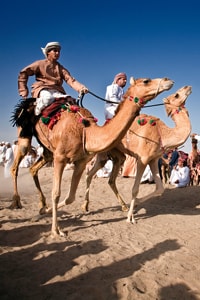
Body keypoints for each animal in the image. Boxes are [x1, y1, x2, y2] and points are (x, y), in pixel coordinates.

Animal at [10, 77, 173, 237]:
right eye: (146, 81)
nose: (168, 80)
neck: (86, 132)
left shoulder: (81, 161)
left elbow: (70, 197)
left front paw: (46, 212)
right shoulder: (60, 158)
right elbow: (56, 193)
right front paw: (56, 230)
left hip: (48, 151)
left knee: (33, 169)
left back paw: (42, 205)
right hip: (26, 135)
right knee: (16, 165)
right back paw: (16, 202)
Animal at [83, 85, 192, 224]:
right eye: (177, 95)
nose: (188, 87)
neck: (162, 134)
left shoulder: (153, 160)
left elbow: (160, 188)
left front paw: (136, 204)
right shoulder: (143, 159)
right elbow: (135, 189)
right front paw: (131, 217)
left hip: (118, 155)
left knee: (110, 178)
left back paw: (121, 206)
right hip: (103, 152)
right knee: (90, 173)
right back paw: (85, 206)